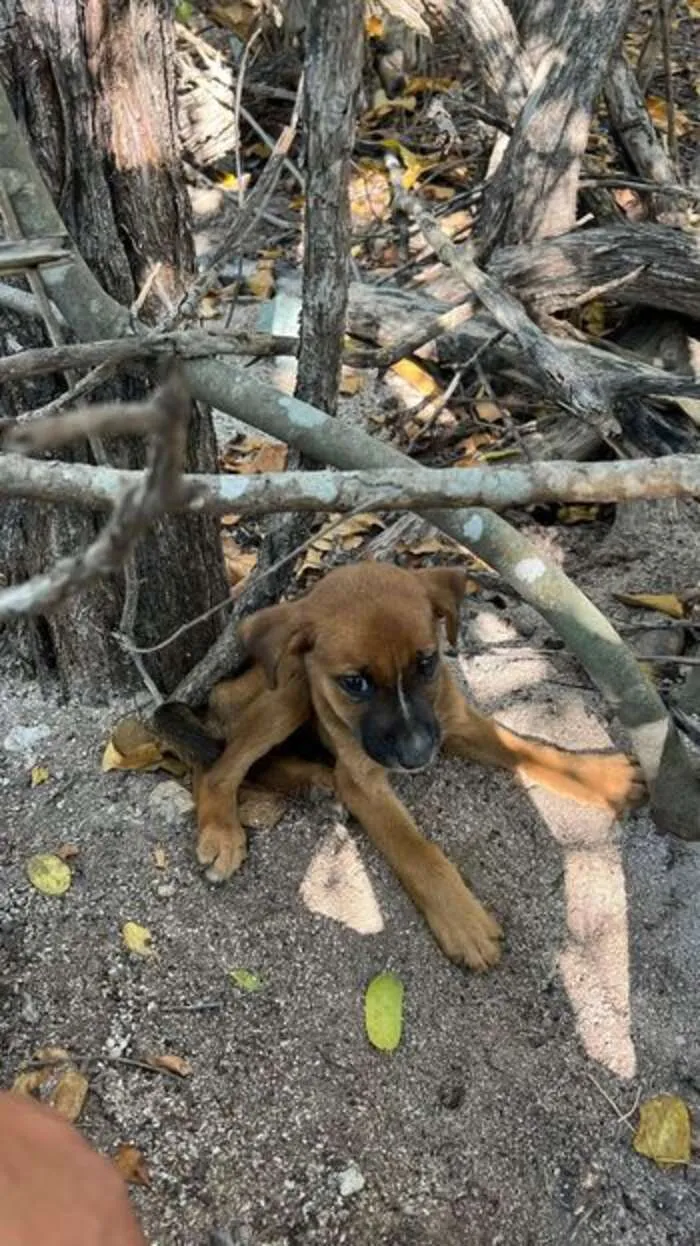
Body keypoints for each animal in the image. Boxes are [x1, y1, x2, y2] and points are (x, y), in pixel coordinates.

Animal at [155, 565, 647, 971]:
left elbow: (531, 749)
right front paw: (462, 920)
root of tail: (215, 694)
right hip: (290, 686)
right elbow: (418, 852)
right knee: (218, 767)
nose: (418, 755)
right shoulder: (364, 782)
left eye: (426, 662)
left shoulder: (458, 724)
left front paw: (606, 776)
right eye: (354, 682)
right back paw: (223, 833)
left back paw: (317, 784)